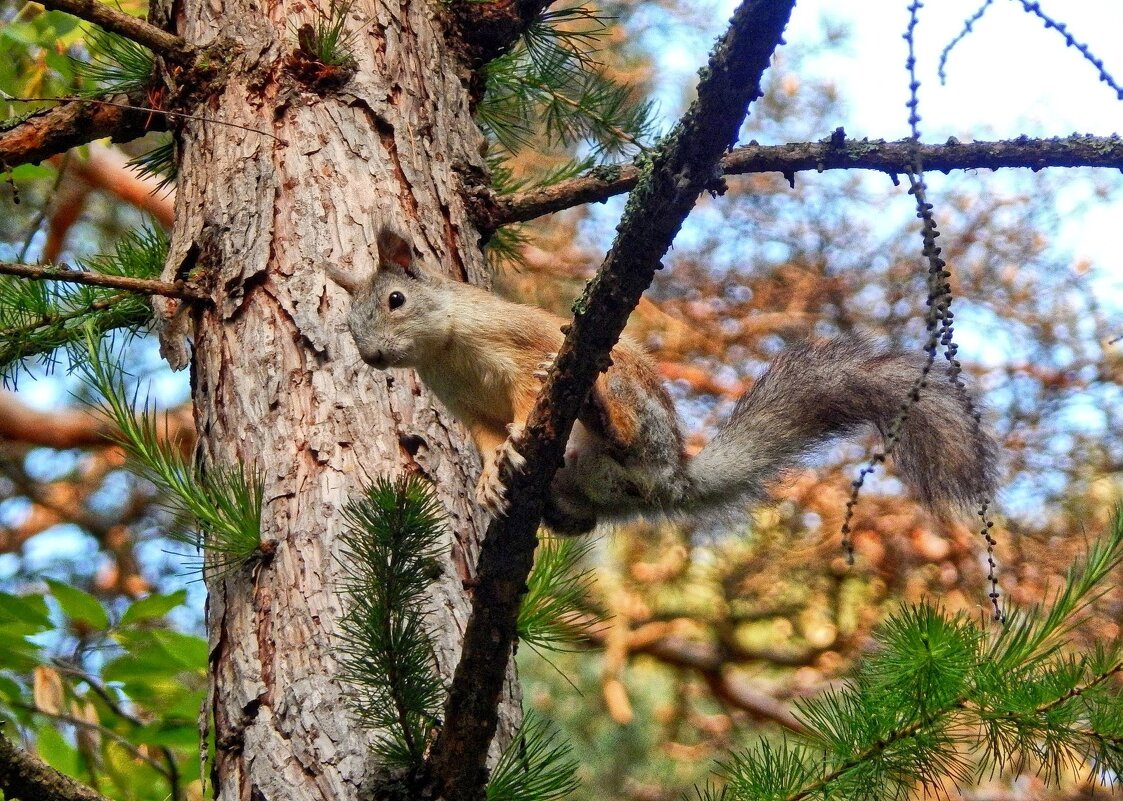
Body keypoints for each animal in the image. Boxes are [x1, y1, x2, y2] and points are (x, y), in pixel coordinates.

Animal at [327, 226, 1001, 536]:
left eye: (394, 300)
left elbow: (524, 396)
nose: (372, 356)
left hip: (631, 400)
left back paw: (603, 416)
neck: (445, 349)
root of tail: (673, 475)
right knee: (584, 519)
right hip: (592, 488)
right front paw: (492, 477)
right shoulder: (464, 408)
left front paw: (519, 439)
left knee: (624, 430)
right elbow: (487, 439)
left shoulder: (520, 344)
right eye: (350, 324)